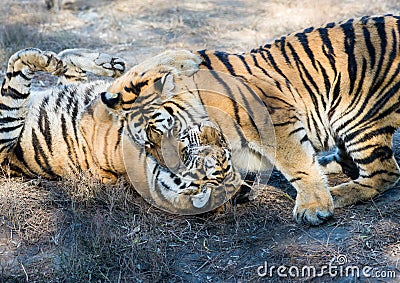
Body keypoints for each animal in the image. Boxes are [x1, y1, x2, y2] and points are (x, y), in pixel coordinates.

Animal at [0, 47, 238, 214]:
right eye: (221, 147)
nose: (215, 134)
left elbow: (136, 80)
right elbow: (141, 79)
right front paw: (182, 62)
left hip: (7, 125)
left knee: (18, 70)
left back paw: (50, 61)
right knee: (67, 70)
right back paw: (102, 63)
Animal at [102, 15, 400, 226]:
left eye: (161, 134)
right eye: (146, 145)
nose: (169, 167)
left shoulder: (274, 119)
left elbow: (297, 163)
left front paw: (314, 208)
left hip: (356, 117)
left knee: (385, 171)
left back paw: (336, 194)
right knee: (351, 162)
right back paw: (327, 167)